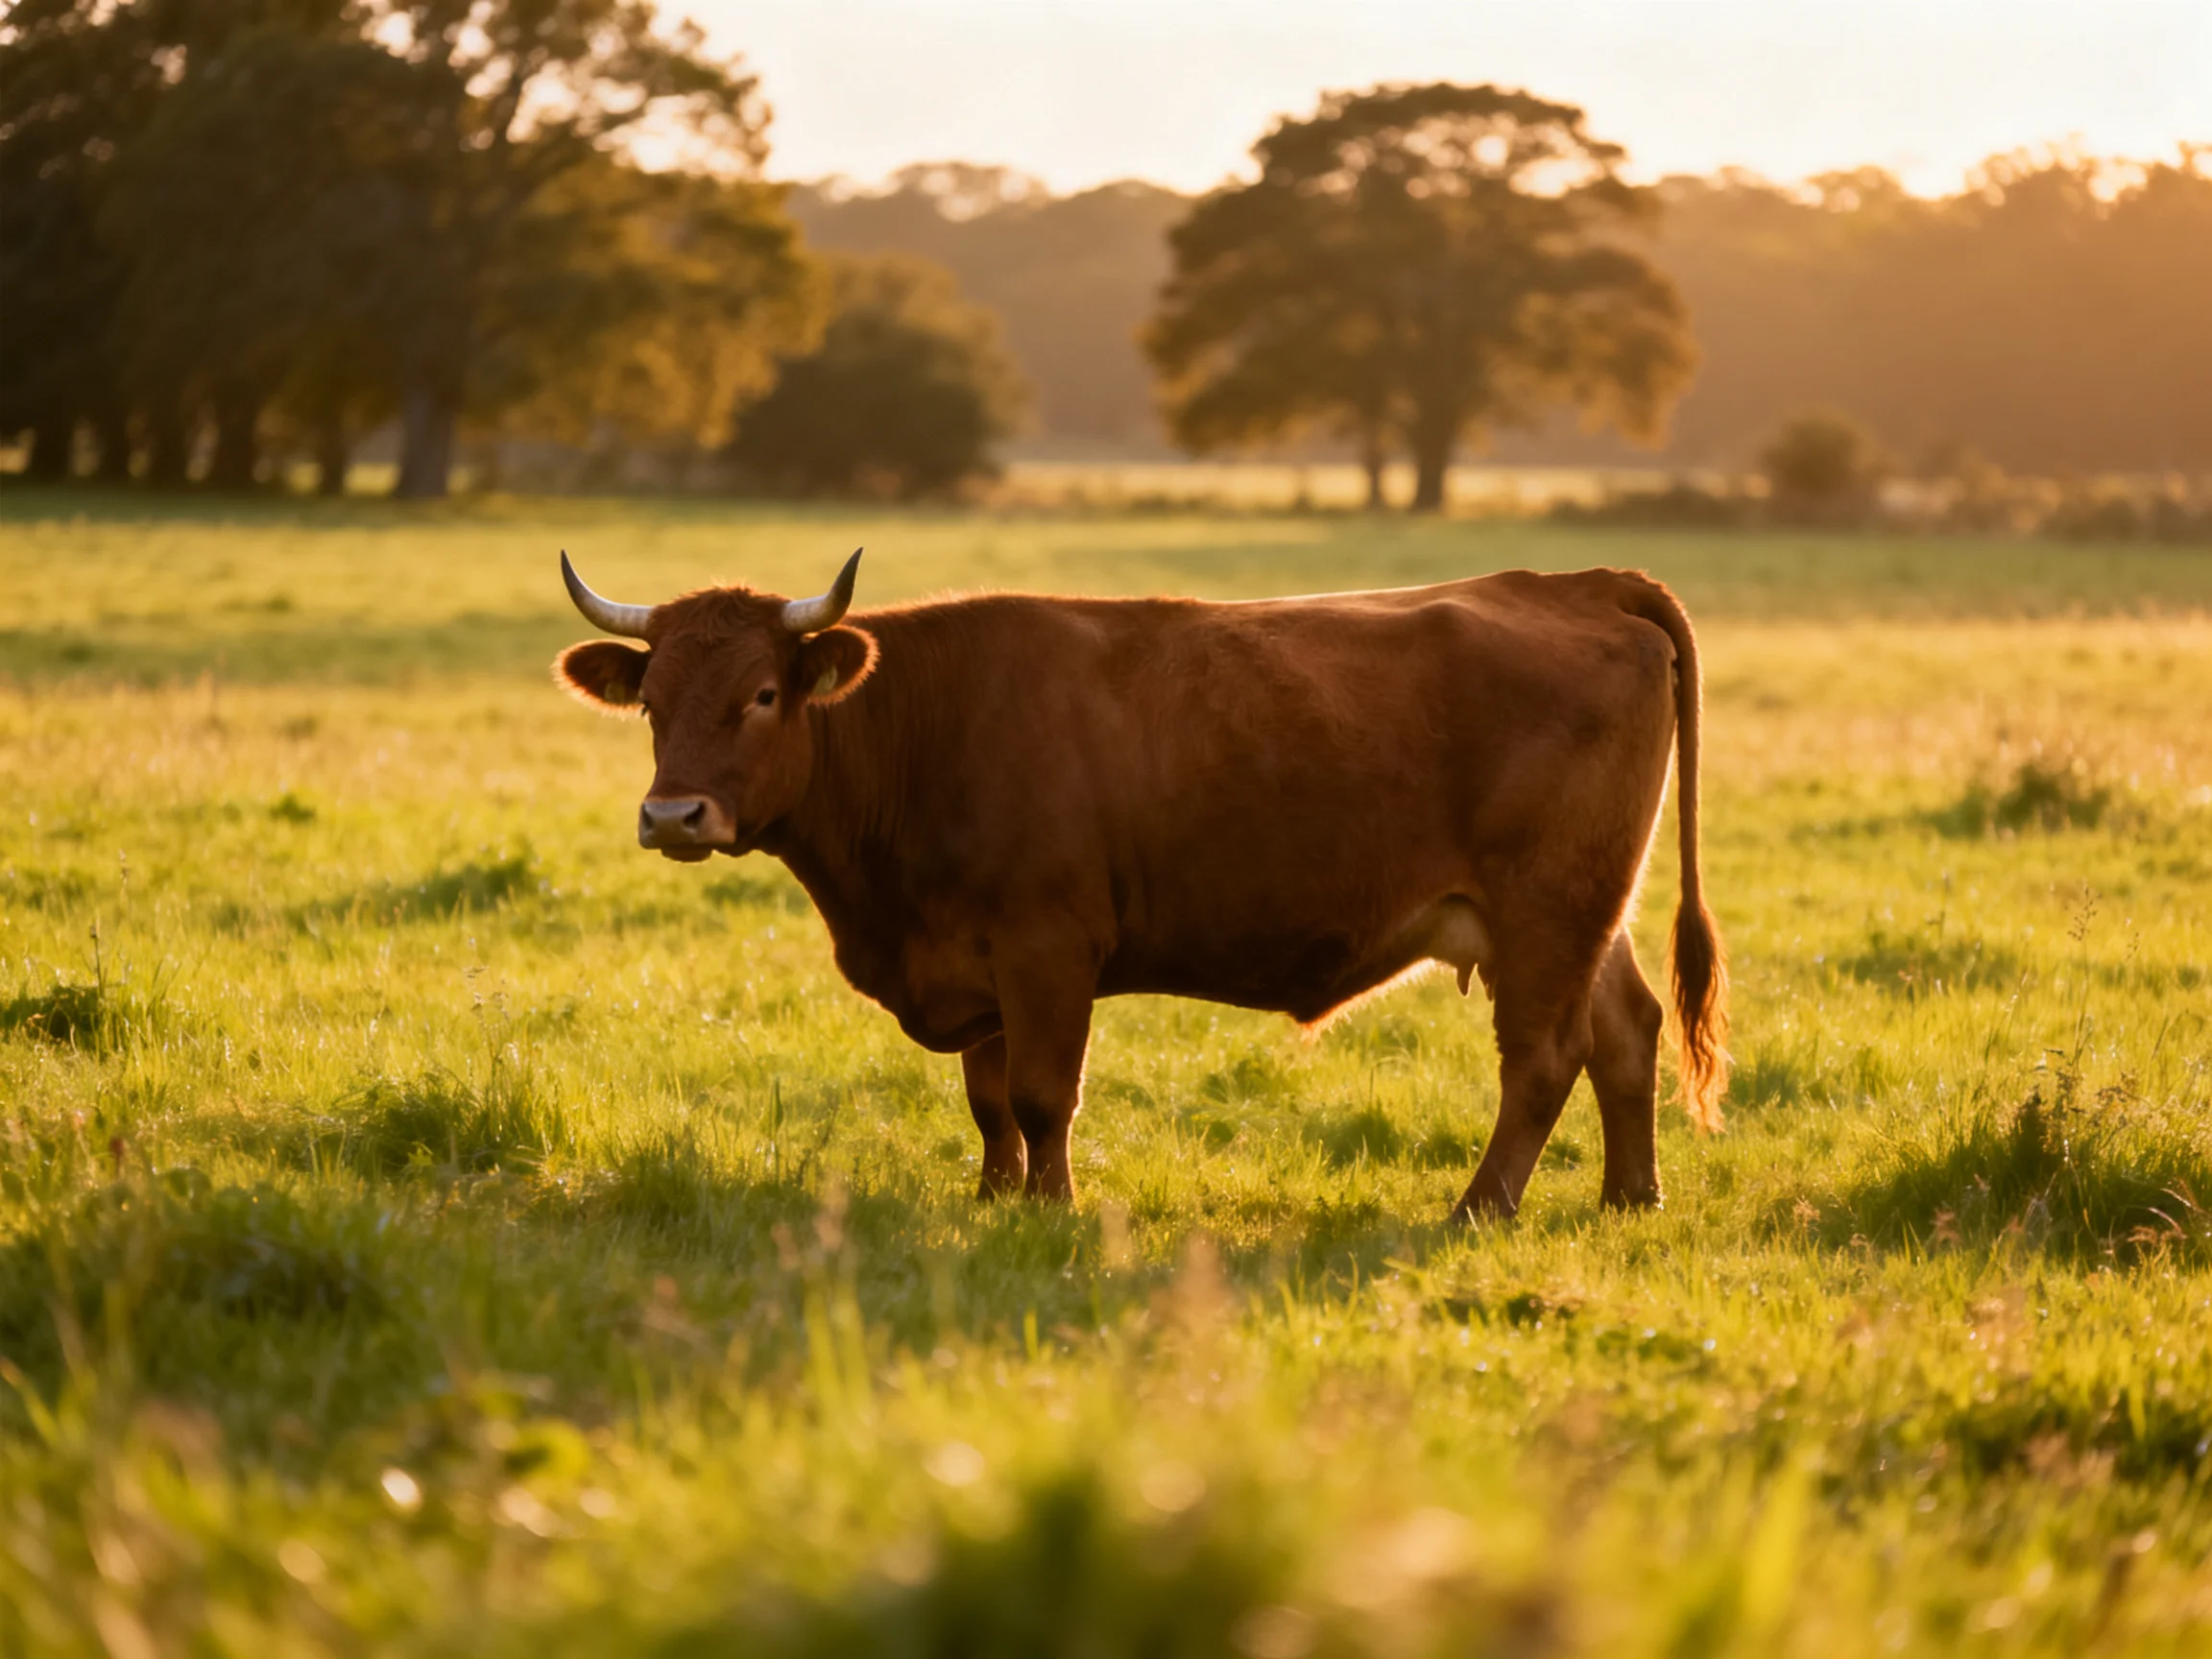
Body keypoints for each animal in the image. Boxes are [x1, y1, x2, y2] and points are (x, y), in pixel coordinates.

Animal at [554, 549, 1727, 1221]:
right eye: (652, 699)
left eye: (761, 692)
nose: (674, 817)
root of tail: (1578, 586)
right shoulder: (973, 959)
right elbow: (988, 1100)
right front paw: (993, 1200)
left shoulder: (1045, 947)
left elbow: (1042, 1094)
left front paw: (1052, 1210)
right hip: (1587, 912)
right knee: (1626, 1032)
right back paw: (1631, 1198)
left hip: (1546, 909)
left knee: (1544, 1058)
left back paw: (1480, 1208)